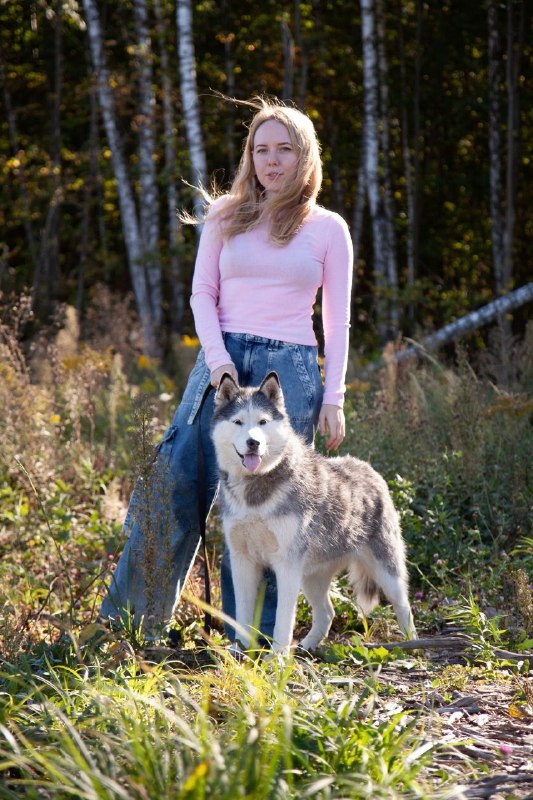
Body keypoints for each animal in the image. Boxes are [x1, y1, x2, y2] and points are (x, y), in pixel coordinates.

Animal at [211, 372, 416, 652]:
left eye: (262, 422)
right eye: (238, 422)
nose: (253, 442)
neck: (256, 488)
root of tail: (367, 467)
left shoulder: (286, 565)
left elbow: (283, 621)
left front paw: (276, 656)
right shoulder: (243, 561)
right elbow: (242, 614)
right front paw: (240, 650)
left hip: (386, 570)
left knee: (404, 606)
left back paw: (413, 643)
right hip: (311, 576)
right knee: (327, 612)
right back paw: (307, 646)